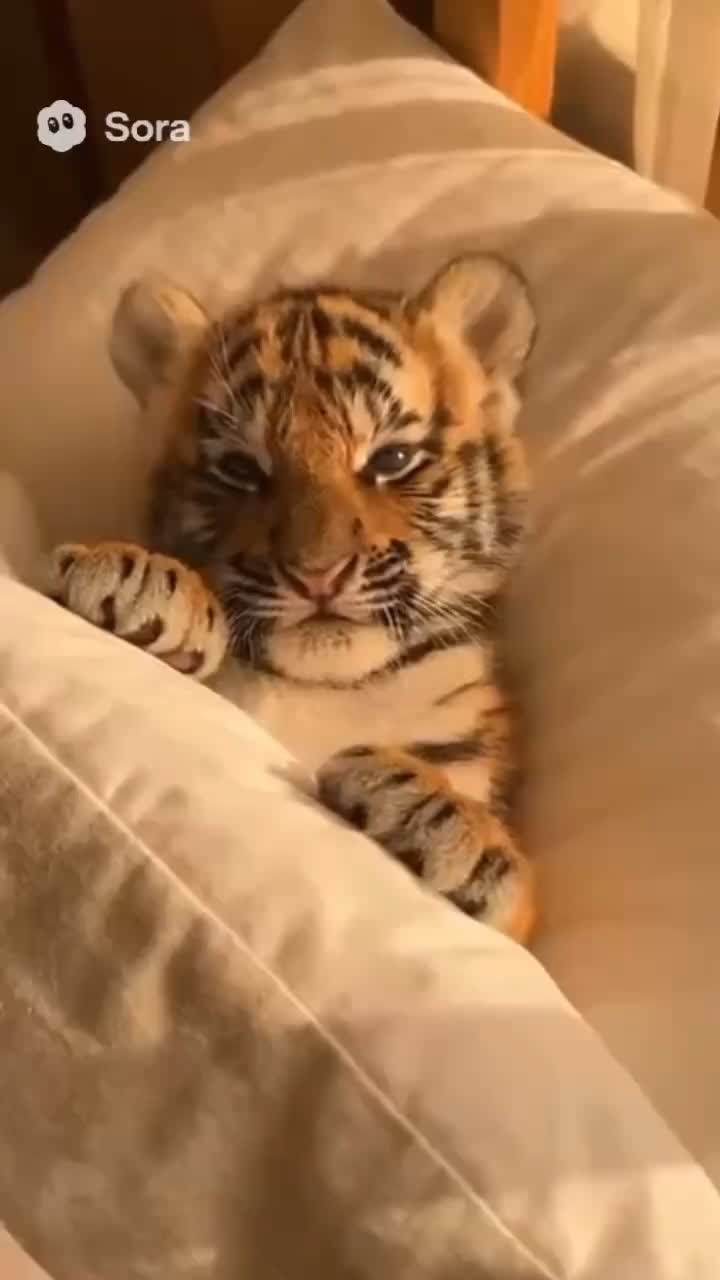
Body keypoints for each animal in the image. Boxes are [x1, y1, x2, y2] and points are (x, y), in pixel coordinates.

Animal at [48, 253, 537, 942]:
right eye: (240, 469)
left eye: (392, 459)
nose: (318, 575)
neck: (330, 691)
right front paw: (138, 580)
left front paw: (444, 822)